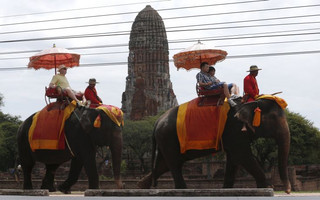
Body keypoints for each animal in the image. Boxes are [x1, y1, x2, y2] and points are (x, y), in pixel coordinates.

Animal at [136, 97, 292, 193]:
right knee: (174, 165)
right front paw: (266, 187)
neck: (252, 101)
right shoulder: (234, 130)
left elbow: (234, 159)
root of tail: (156, 122)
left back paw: (141, 187)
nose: (288, 190)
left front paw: (226, 190)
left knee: (164, 165)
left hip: (166, 140)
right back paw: (183, 190)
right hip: (168, 138)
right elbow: (243, 156)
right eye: (273, 118)